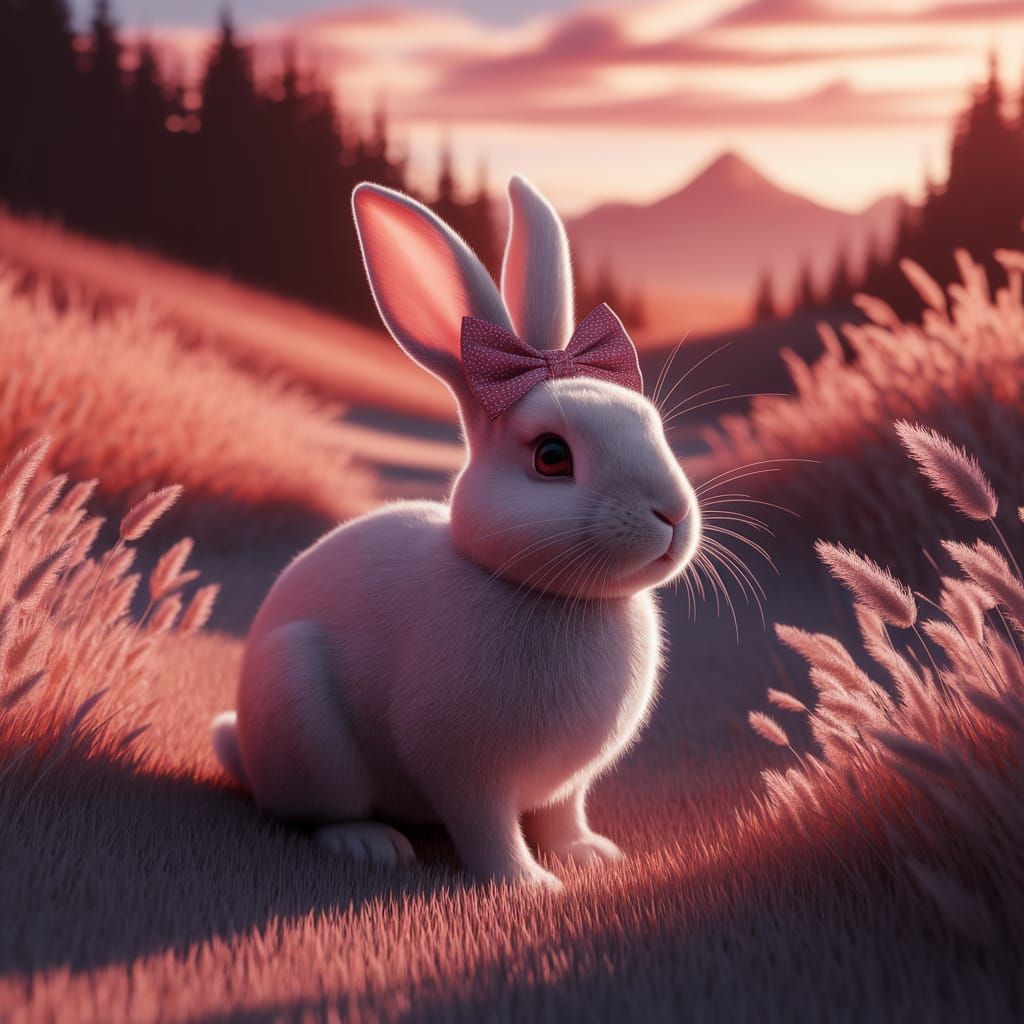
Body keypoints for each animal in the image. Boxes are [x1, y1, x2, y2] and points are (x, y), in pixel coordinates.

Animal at [211, 174, 701, 889]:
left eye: (651, 425)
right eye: (551, 457)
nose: (672, 514)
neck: (554, 596)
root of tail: (242, 741)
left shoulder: (568, 786)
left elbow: (563, 816)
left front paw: (590, 855)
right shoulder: (464, 774)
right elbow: (489, 833)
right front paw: (529, 888)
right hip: (302, 717)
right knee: (312, 812)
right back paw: (369, 844)